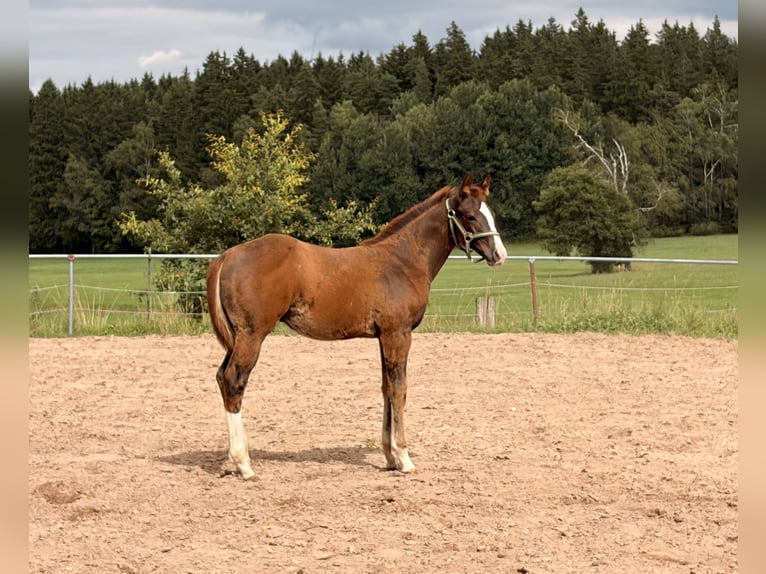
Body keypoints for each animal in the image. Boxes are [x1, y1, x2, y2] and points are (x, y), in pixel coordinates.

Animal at [206, 173, 508, 480]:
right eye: (470, 216)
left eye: (491, 214)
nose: (500, 255)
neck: (402, 262)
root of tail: (226, 256)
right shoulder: (399, 333)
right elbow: (399, 388)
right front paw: (404, 457)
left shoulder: (384, 336)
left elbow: (386, 387)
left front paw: (389, 457)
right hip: (252, 335)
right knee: (234, 381)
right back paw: (244, 464)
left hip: (237, 337)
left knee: (221, 377)